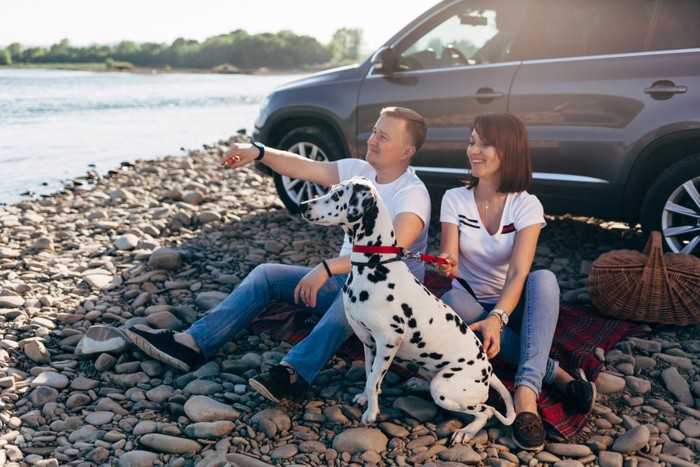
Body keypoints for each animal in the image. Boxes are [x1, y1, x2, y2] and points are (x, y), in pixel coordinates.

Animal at [300, 177, 516, 444]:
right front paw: (365, 399)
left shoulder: (388, 340)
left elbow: (373, 381)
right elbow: (370, 376)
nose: (302, 205)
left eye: (338, 195)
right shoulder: (368, 342)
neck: (374, 265)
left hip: (445, 389)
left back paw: (466, 431)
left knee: (488, 410)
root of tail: (489, 370)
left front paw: (371, 413)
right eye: (330, 189)